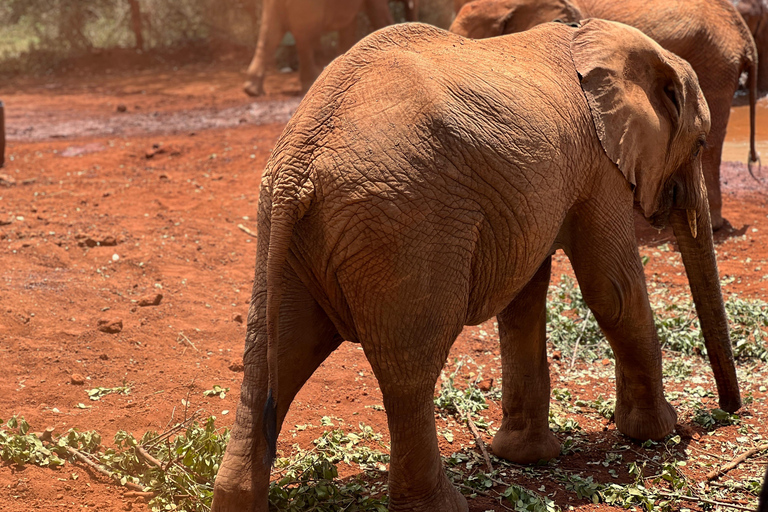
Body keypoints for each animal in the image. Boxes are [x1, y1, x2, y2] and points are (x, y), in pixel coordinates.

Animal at [213, 18, 740, 512]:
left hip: (292, 232)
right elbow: (612, 289)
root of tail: (299, 160)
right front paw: (659, 433)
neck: (595, 35)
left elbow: (525, 300)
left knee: (271, 355)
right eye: (699, 144)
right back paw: (442, 505)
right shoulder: (598, 164)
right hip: (406, 224)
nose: (729, 412)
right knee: (409, 370)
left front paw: (526, 457)